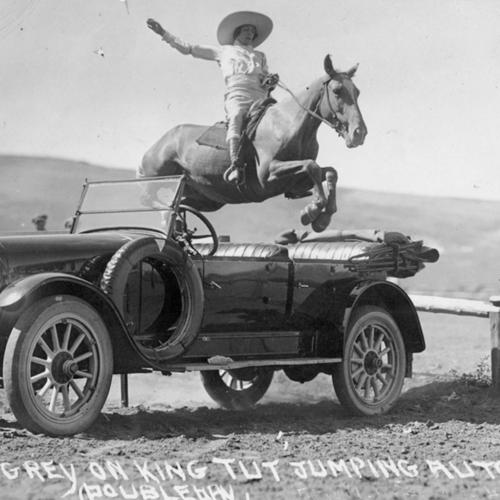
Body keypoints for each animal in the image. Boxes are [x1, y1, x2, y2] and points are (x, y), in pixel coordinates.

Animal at [139, 54, 366, 232]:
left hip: (206, 199)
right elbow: (312, 166)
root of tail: (155, 147)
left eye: (357, 92)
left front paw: (323, 217)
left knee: (183, 204)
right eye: (337, 91)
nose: (359, 133)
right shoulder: (268, 175)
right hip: (156, 181)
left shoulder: (296, 182)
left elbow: (328, 172)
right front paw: (312, 210)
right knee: (150, 201)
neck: (288, 124)